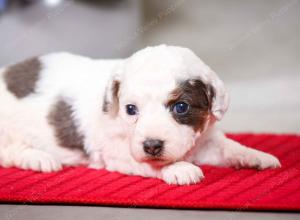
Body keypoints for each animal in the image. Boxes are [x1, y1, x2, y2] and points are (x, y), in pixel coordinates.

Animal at [0, 45, 278, 185]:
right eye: (130, 109)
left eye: (181, 107)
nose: (152, 145)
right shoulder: (116, 152)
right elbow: (150, 164)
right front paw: (179, 168)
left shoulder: (205, 140)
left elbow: (228, 146)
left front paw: (257, 156)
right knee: (8, 153)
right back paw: (38, 158)